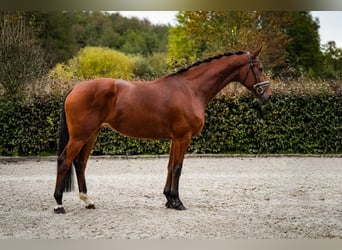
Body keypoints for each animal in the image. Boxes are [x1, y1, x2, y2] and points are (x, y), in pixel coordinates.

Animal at [54, 46, 272, 213]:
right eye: (259, 68)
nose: (268, 95)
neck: (190, 89)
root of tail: (75, 88)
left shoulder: (175, 138)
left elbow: (169, 167)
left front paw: (169, 200)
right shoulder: (183, 137)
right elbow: (177, 168)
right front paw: (177, 201)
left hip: (91, 134)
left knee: (80, 163)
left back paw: (87, 201)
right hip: (80, 136)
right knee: (65, 161)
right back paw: (58, 204)